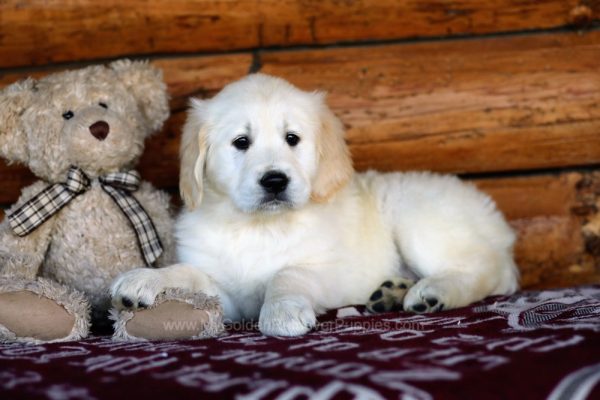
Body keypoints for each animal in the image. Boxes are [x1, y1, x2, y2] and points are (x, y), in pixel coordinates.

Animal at [110, 73, 516, 336]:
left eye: (292, 139)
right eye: (241, 142)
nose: (275, 181)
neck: (258, 226)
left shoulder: (327, 270)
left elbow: (287, 274)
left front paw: (281, 311)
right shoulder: (224, 290)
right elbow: (186, 274)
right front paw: (144, 279)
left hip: (418, 218)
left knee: (489, 272)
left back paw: (432, 294)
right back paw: (391, 292)